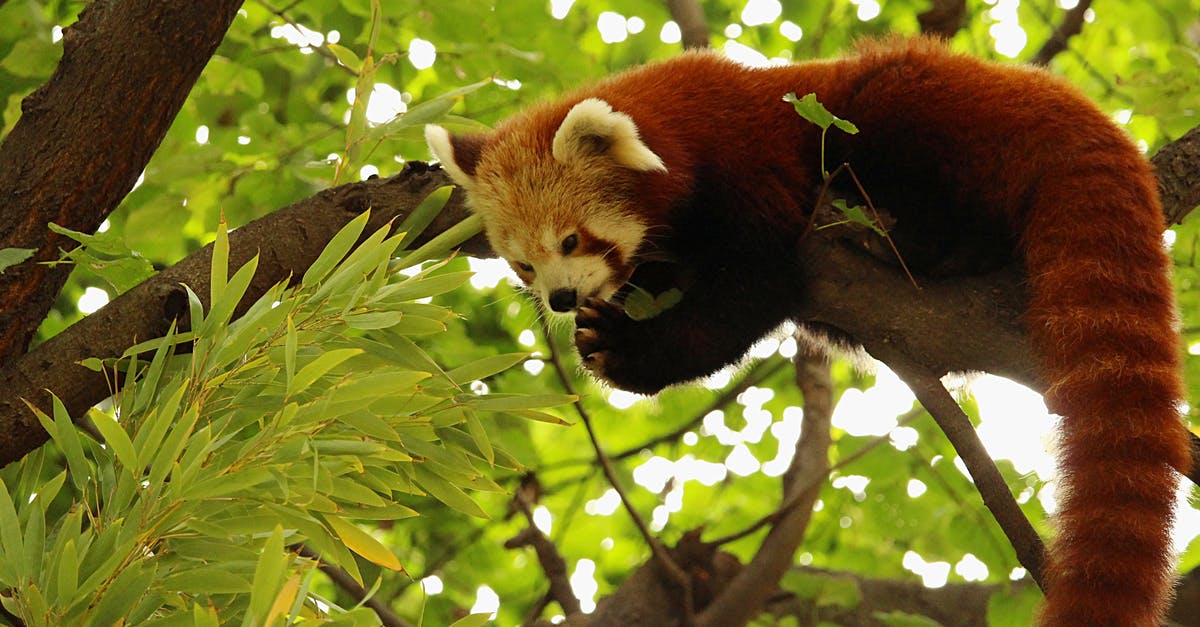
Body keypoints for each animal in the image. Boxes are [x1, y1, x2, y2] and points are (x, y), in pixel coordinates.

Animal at [429, 36, 1190, 619]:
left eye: (572, 240)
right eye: (524, 265)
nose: (560, 299)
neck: (689, 124)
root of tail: (1079, 112)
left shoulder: (755, 170)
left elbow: (753, 292)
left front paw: (627, 351)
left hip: (920, 113)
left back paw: (909, 240)